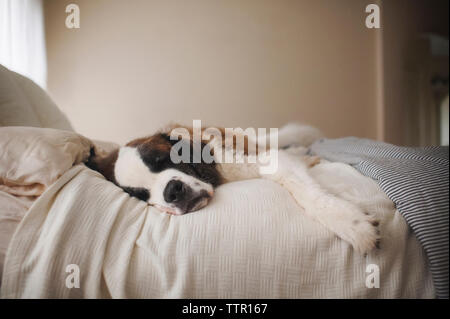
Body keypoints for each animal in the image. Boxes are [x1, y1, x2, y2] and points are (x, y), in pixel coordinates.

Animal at [85, 124, 380, 254]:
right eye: (141, 195)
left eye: (162, 160)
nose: (172, 191)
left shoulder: (264, 160)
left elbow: (309, 194)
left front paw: (353, 225)